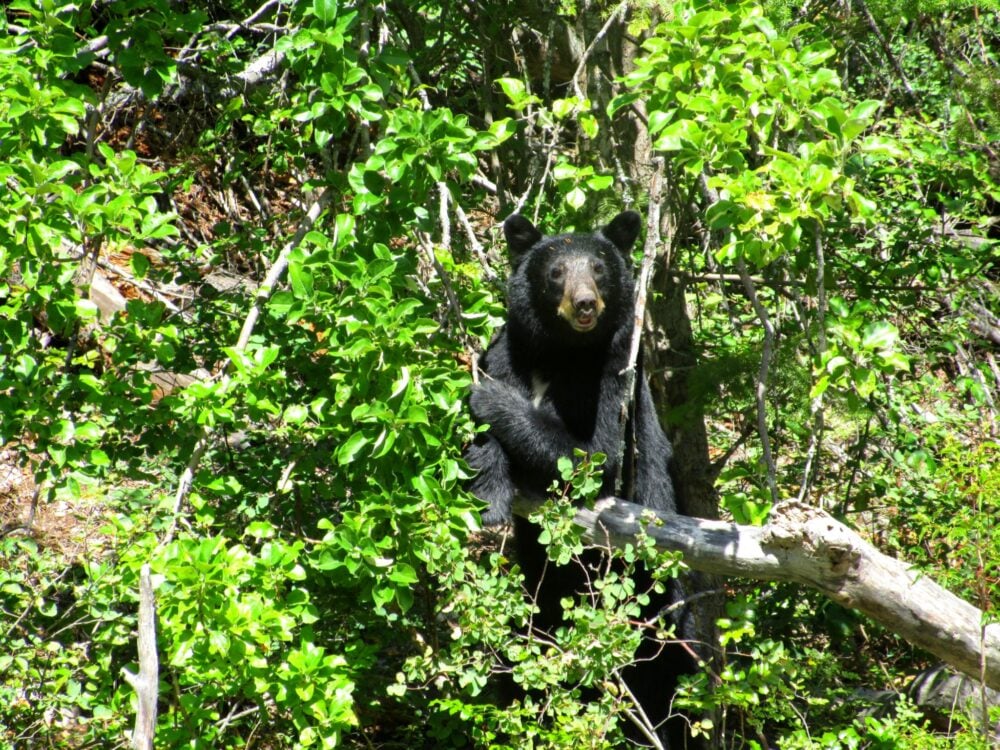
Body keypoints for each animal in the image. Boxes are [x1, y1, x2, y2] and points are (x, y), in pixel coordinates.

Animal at [466, 210, 696, 748]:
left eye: (598, 267)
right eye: (555, 272)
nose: (585, 303)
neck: (561, 352)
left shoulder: (615, 372)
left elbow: (594, 455)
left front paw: (494, 401)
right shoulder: (509, 350)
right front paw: (490, 499)